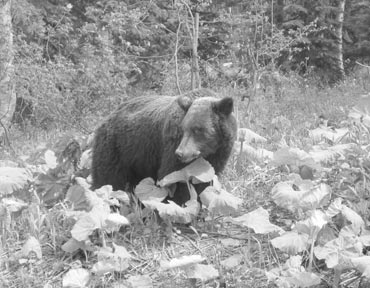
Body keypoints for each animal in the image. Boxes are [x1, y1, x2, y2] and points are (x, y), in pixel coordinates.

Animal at [92, 89, 237, 204]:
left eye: (198, 129)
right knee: (108, 179)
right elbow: (172, 178)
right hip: (116, 148)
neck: (208, 151)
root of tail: (108, 116)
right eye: (184, 128)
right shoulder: (172, 146)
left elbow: (205, 180)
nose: (180, 153)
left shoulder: (218, 155)